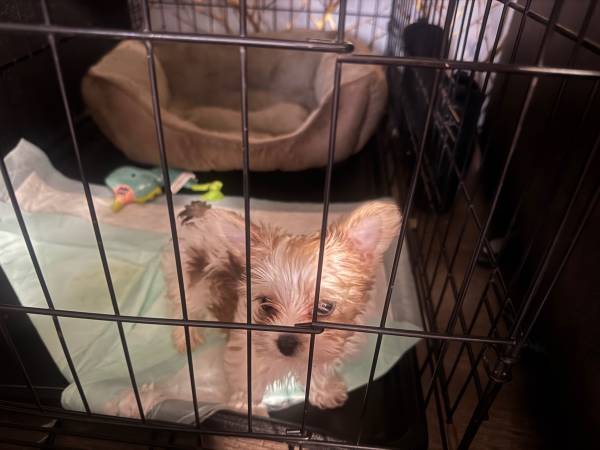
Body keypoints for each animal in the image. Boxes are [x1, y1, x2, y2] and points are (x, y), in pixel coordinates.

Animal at [106, 200, 401, 417]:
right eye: (265, 305)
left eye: (324, 307)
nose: (286, 343)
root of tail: (201, 212)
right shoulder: (245, 352)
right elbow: (248, 383)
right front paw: (250, 411)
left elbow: (317, 369)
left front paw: (324, 392)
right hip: (185, 275)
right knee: (182, 305)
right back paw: (186, 336)